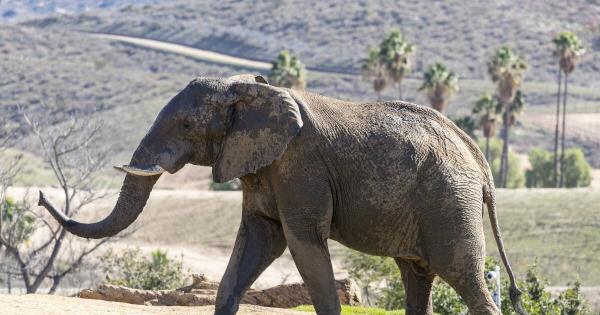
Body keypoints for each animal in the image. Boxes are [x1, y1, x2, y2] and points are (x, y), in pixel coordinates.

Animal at [38, 74, 524, 315]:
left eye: (188, 125)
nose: (41, 197)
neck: (252, 90)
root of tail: (479, 160)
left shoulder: (299, 167)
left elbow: (301, 241)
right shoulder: (260, 166)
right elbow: (257, 241)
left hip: (449, 202)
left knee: (463, 276)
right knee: (417, 277)